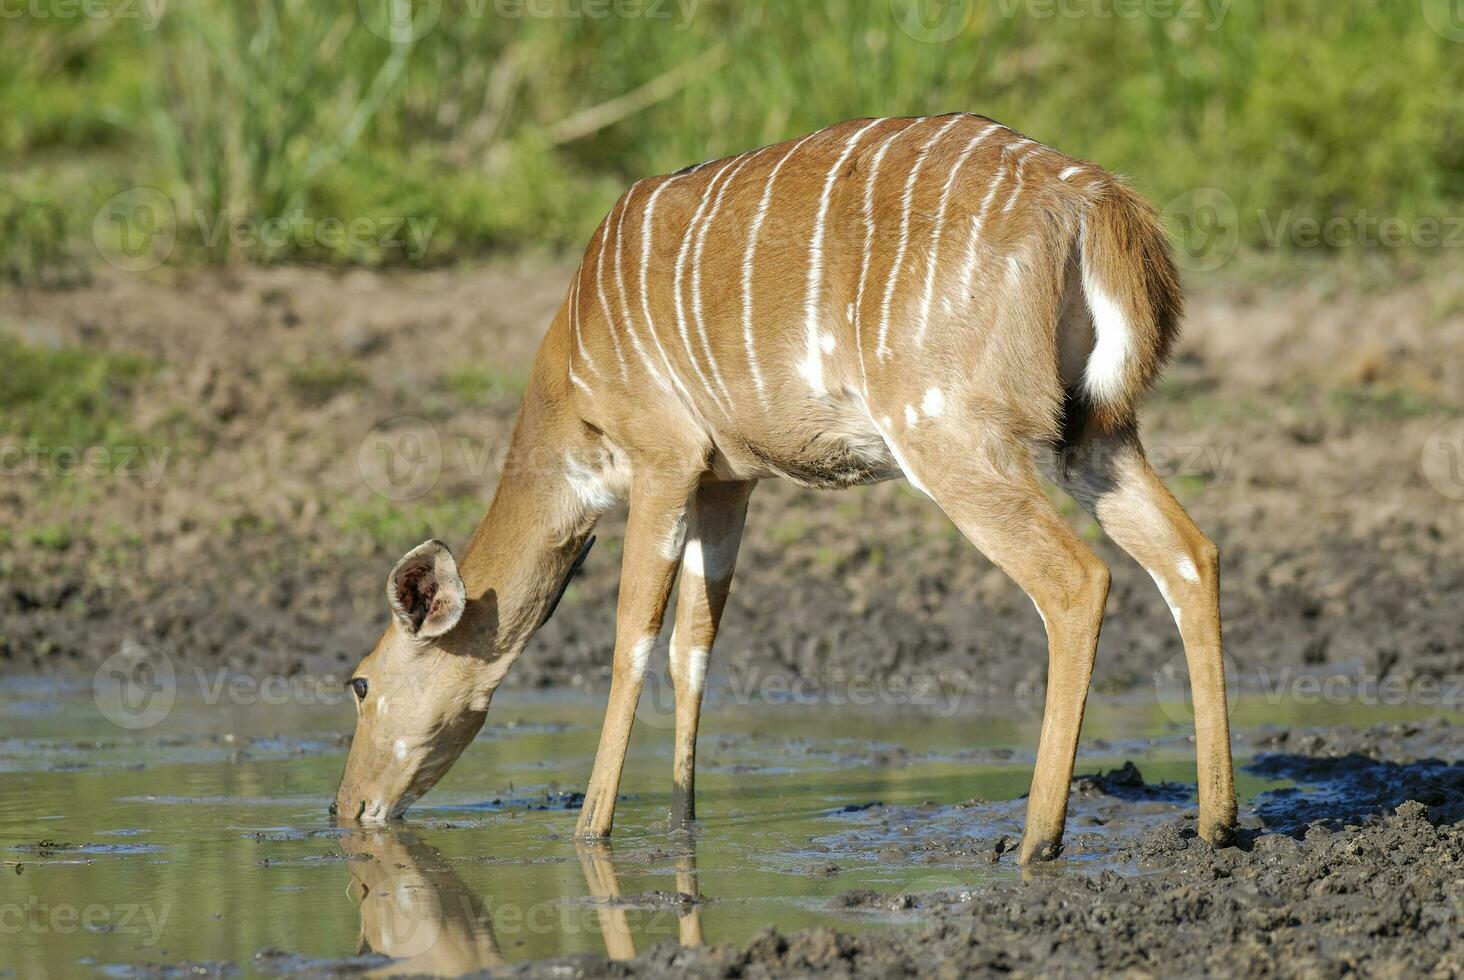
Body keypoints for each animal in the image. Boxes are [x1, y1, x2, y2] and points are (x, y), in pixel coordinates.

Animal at [335, 116, 1235, 861]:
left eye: (360, 682)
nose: (348, 809)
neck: (571, 375)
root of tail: (1093, 201)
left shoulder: (663, 457)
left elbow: (632, 638)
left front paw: (591, 831)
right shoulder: (728, 481)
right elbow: (693, 646)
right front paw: (681, 823)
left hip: (950, 436)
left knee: (1078, 580)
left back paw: (1035, 843)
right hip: (1095, 433)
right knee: (1189, 553)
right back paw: (1216, 824)